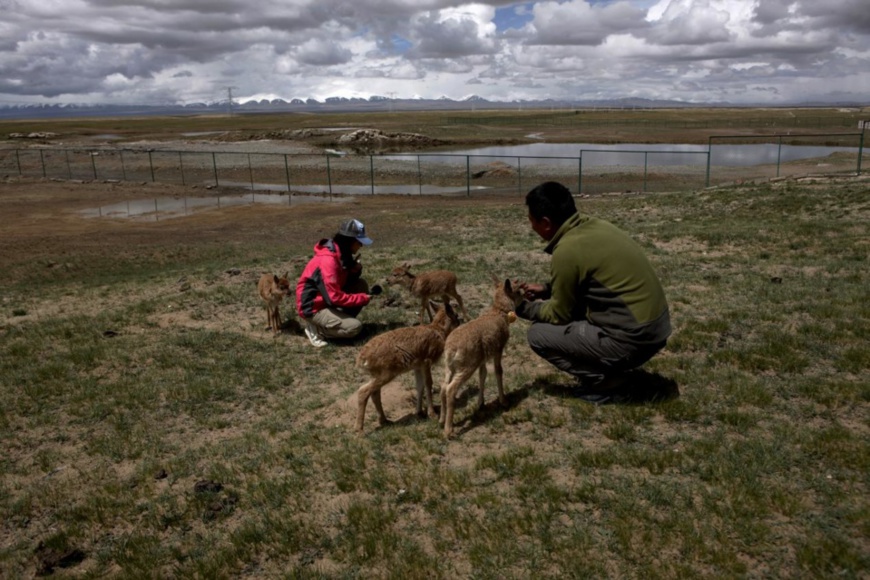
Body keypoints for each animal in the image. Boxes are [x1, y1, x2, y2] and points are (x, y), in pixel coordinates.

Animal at [354, 302, 464, 432]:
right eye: (456, 314)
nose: (460, 323)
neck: (438, 331)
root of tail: (361, 358)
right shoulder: (426, 361)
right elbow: (428, 383)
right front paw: (432, 414)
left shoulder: (417, 366)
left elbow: (419, 386)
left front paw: (419, 412)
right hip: (387, 373)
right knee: (363, 391)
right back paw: (359, 429)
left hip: (378, 375)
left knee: (374, 393)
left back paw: (385, 421)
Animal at [442, 278, 524, 438]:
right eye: (517, 291)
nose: (525, 297)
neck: (499, 313)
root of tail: (451, 349)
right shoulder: (498, 350)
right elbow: (498, 371)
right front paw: (504, 401)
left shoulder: (482, 360)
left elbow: (483, 375)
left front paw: (481, 403)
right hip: (466, 367)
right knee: (450, 388)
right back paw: (449, 431)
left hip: (449, 367)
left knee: (443, 386)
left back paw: (441, 420)